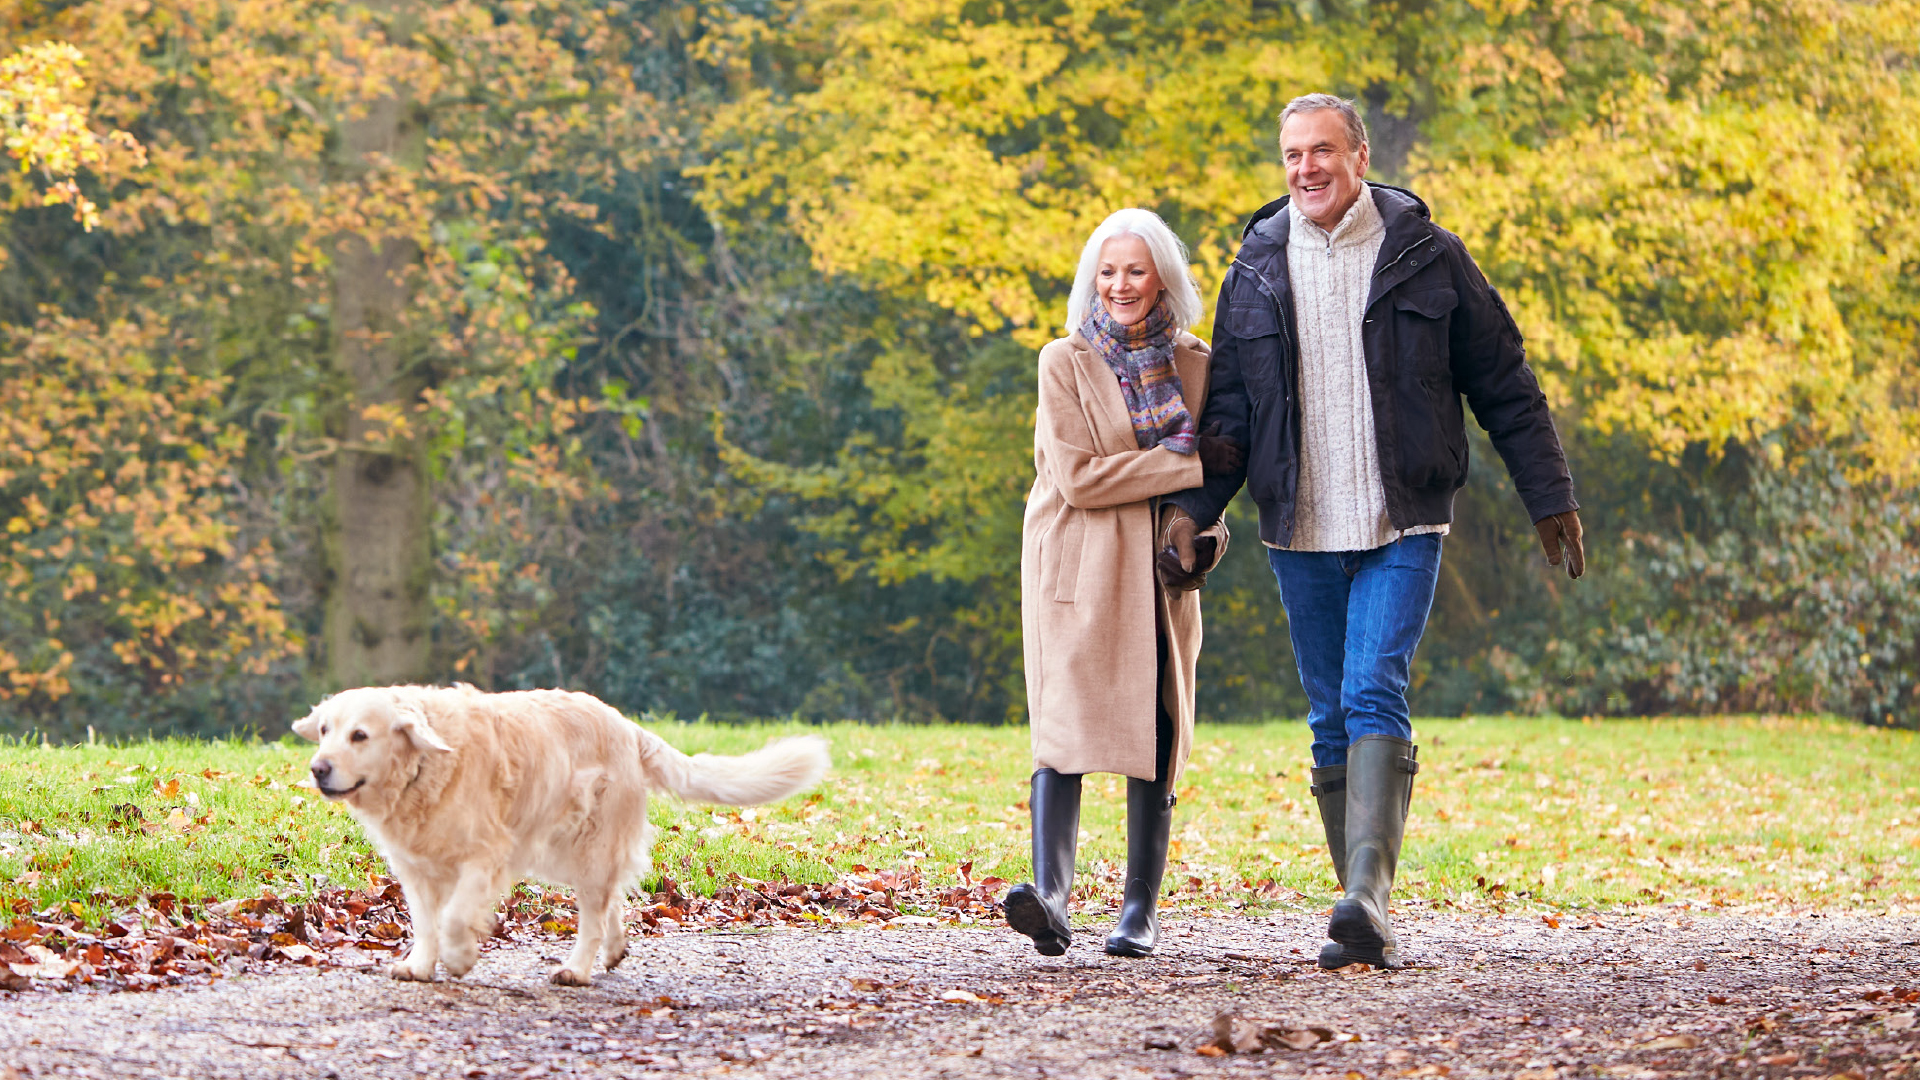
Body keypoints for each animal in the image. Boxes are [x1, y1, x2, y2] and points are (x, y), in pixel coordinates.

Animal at [289, 684, 825, 980]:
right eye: (325, 730)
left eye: (360, 735)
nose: (318, 770)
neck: (424, 769)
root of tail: (628, 727)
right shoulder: (415, 868)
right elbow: (425, 923)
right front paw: (421, 966)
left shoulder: (486, 857)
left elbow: (455, 918)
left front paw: (459, 959)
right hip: (566, 851)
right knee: (610, 902)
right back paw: (613, 949)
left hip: (587, 849)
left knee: (594, 913)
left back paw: (577, 969)